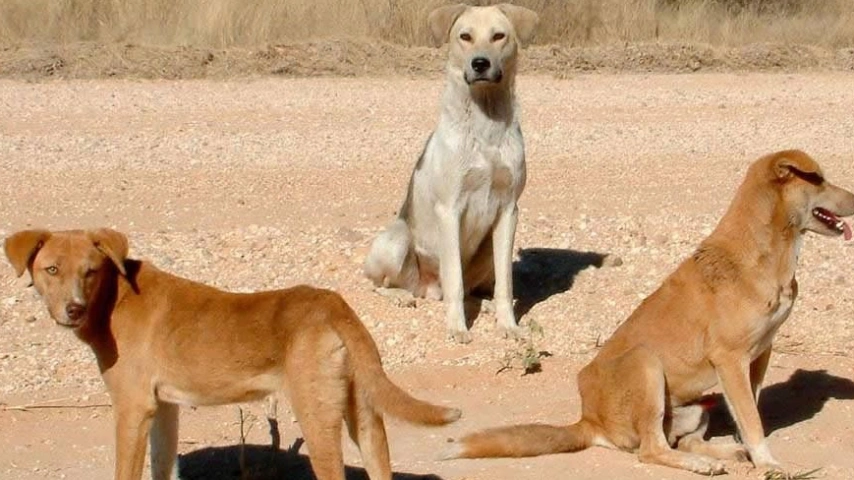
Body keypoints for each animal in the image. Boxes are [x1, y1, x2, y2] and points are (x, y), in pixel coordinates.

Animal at [5, 230, 462, 480]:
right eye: (52, 270)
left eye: (90, 271)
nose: (74, 309)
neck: (113, 298)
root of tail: (333, 303)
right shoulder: (162, 408)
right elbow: (162, 467)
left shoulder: (133, 409)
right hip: (364, 417)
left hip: (317, 417)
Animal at [362, 2, 540, 342]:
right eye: (465, 36)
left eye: (499, 36)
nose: (480, 63)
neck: (486, 127)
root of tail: (428, 290)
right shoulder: (450, 209)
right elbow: (455, 279)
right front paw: (458, 328)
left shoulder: (509, 209)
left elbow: (505, 283)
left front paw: (508, 325)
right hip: (398, 239)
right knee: (379, 284)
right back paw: (401, 297)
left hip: (485, 251)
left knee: (476, 288)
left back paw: (484, 305)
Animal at [442, 151, 854, 476]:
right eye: (818, 178)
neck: (765, 254)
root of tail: (589, 420)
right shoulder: (730, 359)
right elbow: (751, 419)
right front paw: (768, 463)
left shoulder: (760, 354)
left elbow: (748, 412)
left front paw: (751, 452)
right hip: (646, 364)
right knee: (651, 450)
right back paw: (701, 464)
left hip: (695, 407)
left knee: (680, 442)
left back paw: (722, 453)